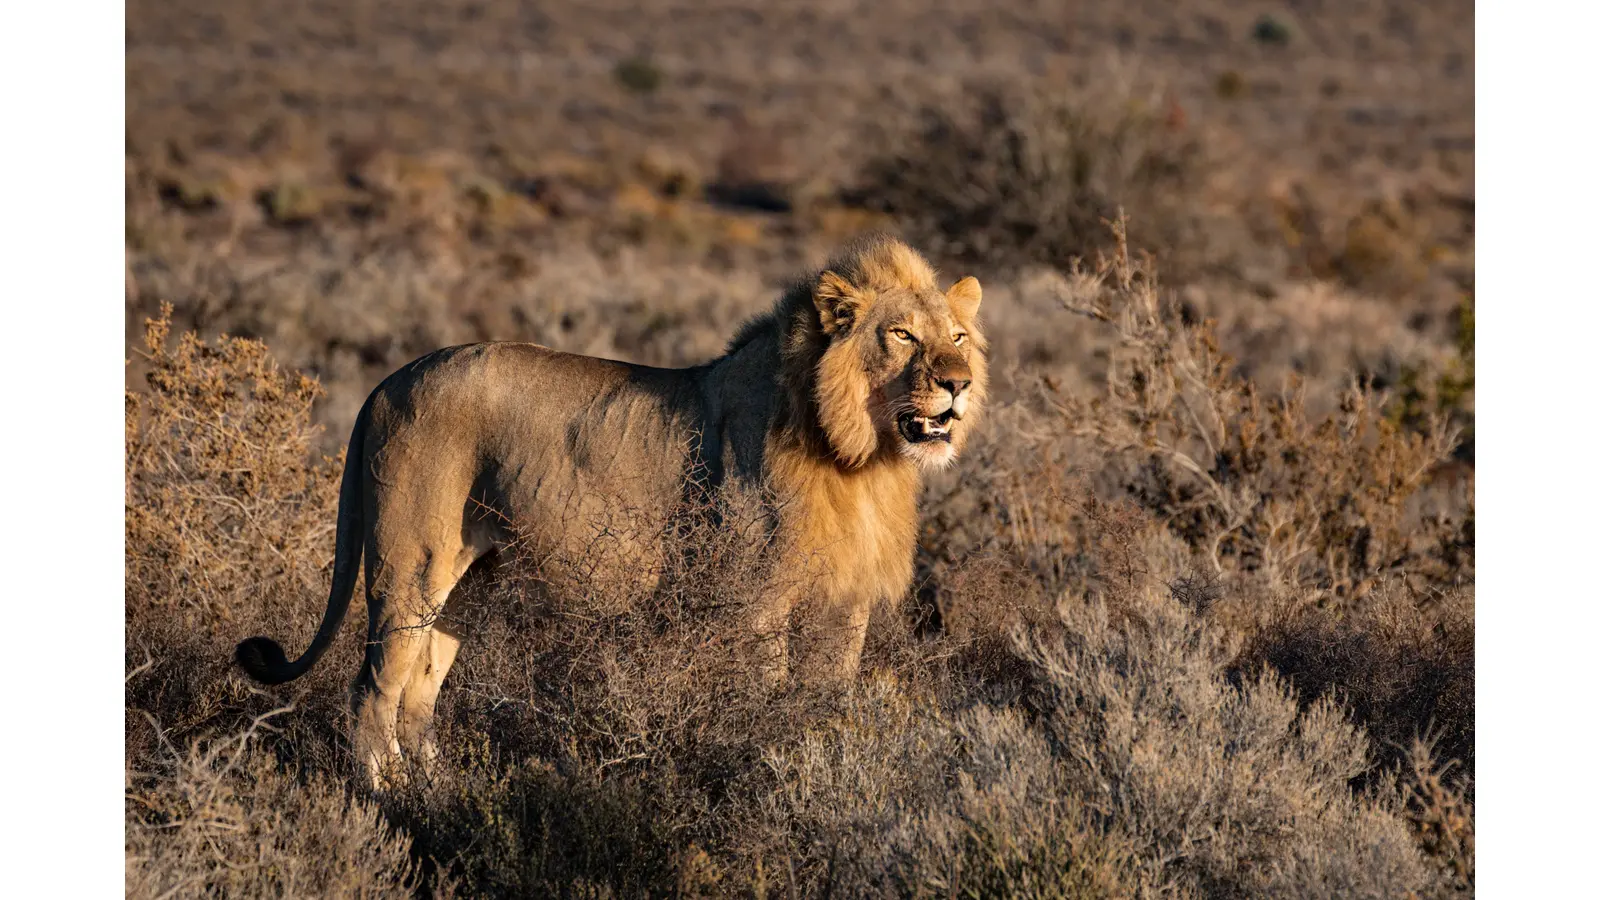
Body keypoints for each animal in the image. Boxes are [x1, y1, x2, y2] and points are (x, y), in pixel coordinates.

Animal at [233, 235, 985, 781]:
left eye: (958, 337)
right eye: (903, 336)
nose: (959, 384)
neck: (862, 458)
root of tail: (387, 382)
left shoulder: (844, 603)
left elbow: (825, 700)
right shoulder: (758, 601)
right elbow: (766, 699)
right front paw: (769, 766)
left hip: (470, 582)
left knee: (420, 691)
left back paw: (438, 793)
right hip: (409, 565)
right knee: (372, 689)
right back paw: (387, 800)